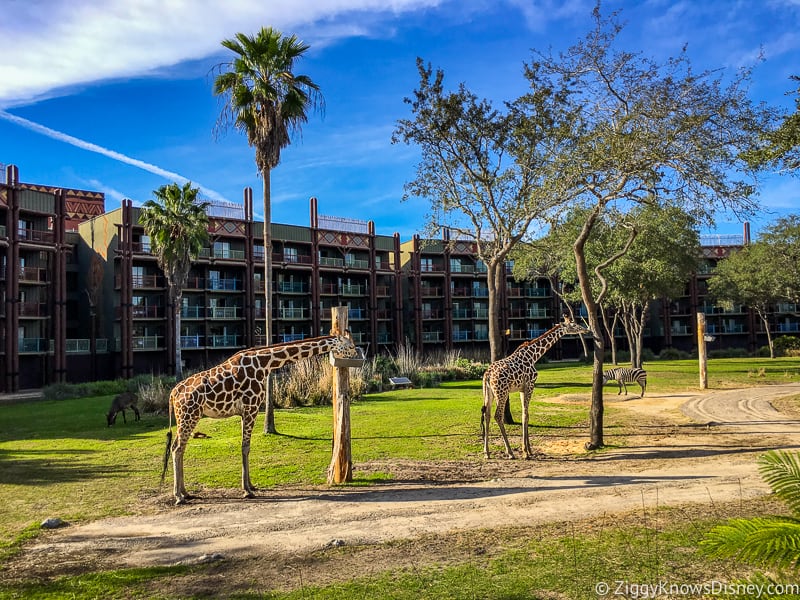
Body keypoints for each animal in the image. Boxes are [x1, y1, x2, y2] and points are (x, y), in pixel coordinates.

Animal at [162, 330, 356, 504]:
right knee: (177, 448)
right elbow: (245, 447)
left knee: (177, 447)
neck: (265, 364)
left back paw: (185, 493)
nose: (356, 356)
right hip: (189, 415)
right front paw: (247, 491)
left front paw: (251, 486)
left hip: (186, 417)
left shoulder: (245, 412)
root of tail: (172, 394)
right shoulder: (252, 407)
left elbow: (245, 447)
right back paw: (179, 496)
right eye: (351, 346)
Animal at [482, 316, 588, 462]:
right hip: (502, 392)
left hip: (489, 393)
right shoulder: (530, 385)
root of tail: (488, 374)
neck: (533, 356)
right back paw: (510, 452)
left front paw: (528, 450)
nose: (586, 330)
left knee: (486, 415)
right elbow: (526, 415)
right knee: (498, 415)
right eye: (573, 324)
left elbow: (524, 414)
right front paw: (526, 452)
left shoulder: (522, 388)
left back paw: (486, 452)